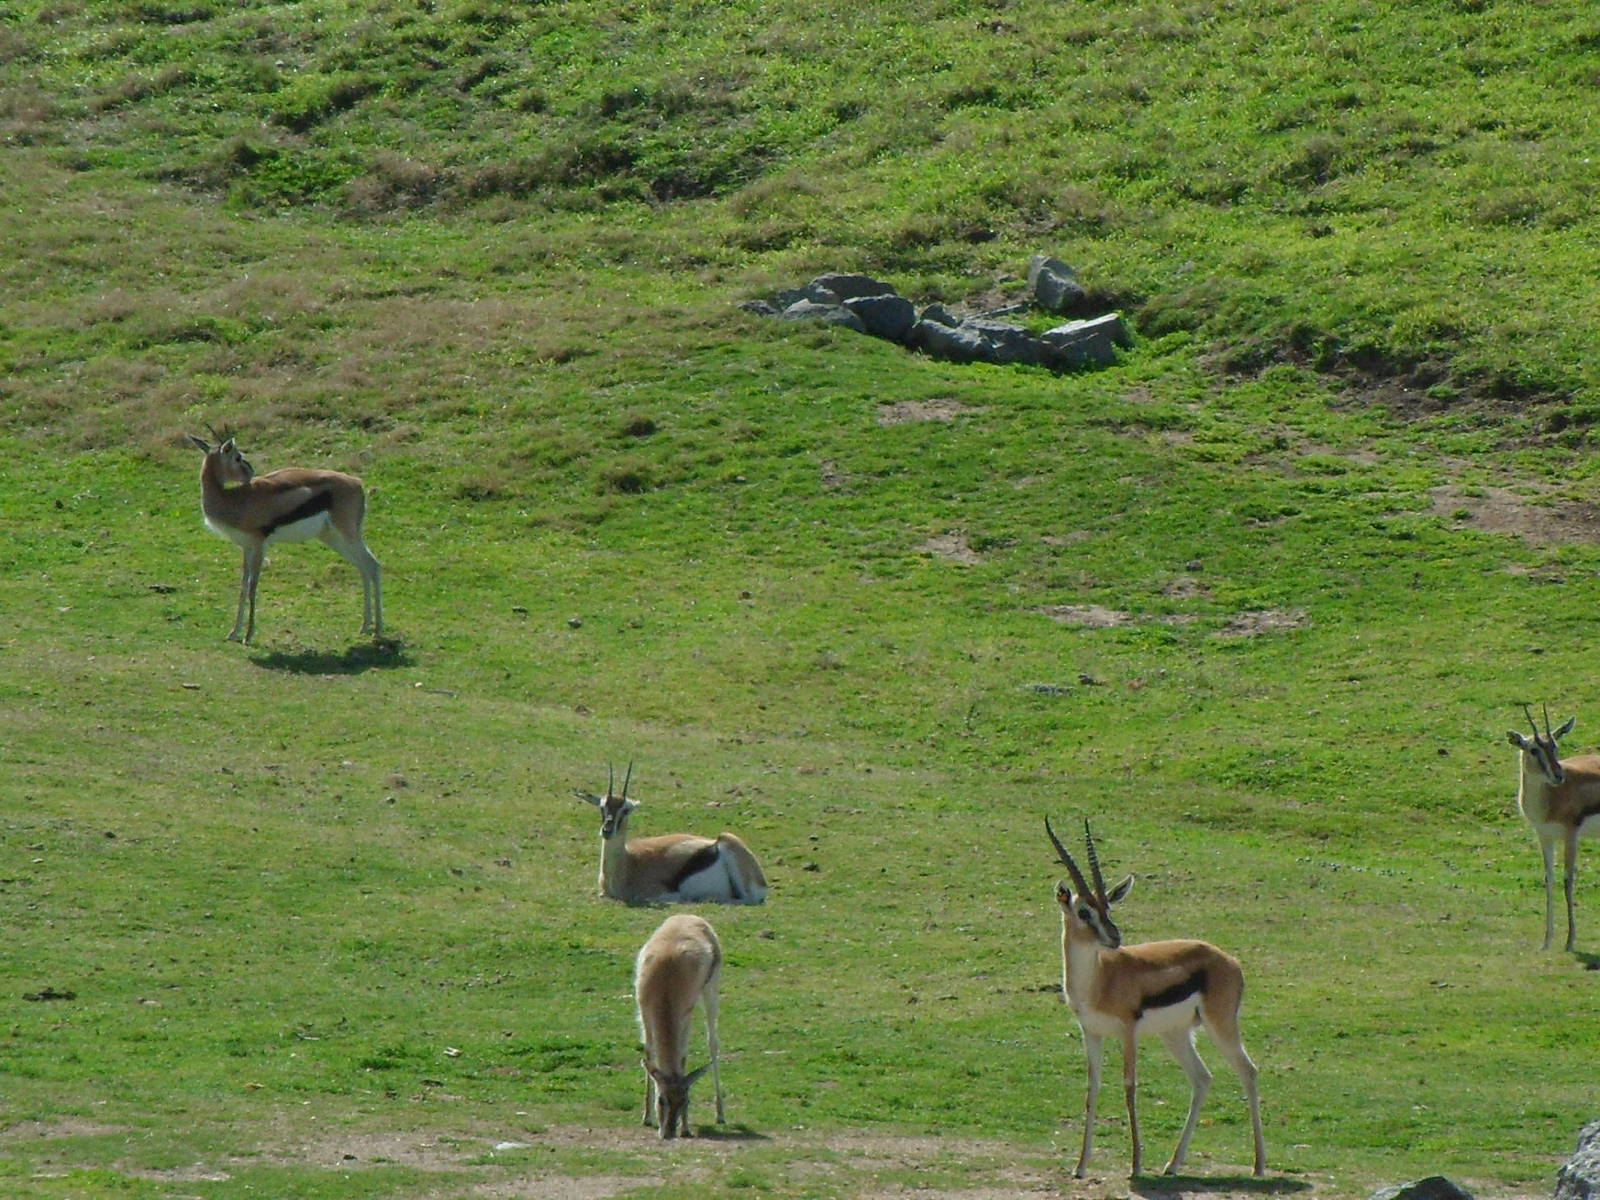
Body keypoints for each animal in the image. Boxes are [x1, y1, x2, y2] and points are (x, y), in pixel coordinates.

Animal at [186, 428, 382, 645]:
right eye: (237, 457)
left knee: (372, 565)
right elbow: (243, 586)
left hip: (347, 533)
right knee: (363, 567)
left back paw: (377, 630)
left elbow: (253, 586)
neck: (235, 500)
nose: (251, 471)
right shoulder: (246, 547)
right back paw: (365, 626)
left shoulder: (259, 545)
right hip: (333, 537)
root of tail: (357, 483)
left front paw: (248, 635)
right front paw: (233, 632)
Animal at [634, 913, 725, 1139]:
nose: (668, 1133)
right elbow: (648, 1052)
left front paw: (686, 1127)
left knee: (713, 1043)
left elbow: (683, 1057)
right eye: (661, 1099)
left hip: (710, 991)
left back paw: (720, 1114)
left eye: (686, 1101)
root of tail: (691, 916)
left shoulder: (685, 1015)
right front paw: (646, 1117)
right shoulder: (644, 1010)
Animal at [1046, 817, 1265, 1179]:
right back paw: (1172, 1164)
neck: (1099, 980)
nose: (1115, 937)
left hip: (1219, 1025)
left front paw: (1135, 1165)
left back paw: (1259, 1166)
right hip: (1175, 1033)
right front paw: (1080, 1166)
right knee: (1202, 1078)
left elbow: (1129, 1086)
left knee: (1248, 1071)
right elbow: (1092, 1089)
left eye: (1108, 907)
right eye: (1084, 911)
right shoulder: (1091, 1033)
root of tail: (1228, 960)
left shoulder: (1128, 1031)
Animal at [1507, 704, 1600, 951]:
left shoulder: (1571, 834)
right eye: (1533, 749)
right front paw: (1546, 941)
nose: (1559, 775)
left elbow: (1568, 880)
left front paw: (1569, 942)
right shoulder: (1544, 835)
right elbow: (1549, 879)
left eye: (1555, 746)